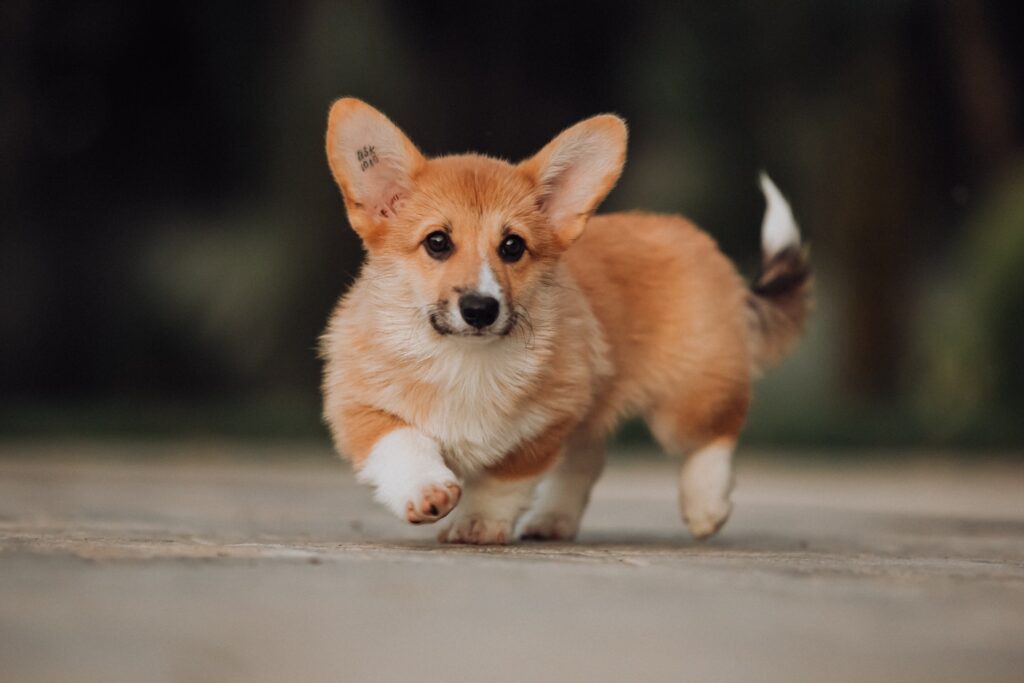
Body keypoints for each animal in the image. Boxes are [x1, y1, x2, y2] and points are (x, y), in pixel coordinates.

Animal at [319, 97, 806, 544]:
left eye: (513, 246)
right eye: (437, 242)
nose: (481, 309)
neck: (465, 358)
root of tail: (695, 238)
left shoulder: (545, 425)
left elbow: (503, 478)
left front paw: (479, 523)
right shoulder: (358, 407)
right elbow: (401, 442)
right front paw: (428, 490)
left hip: (688, 393)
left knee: (715, 432)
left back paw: (706, 504)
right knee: (586, 462)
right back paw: (553, 520)